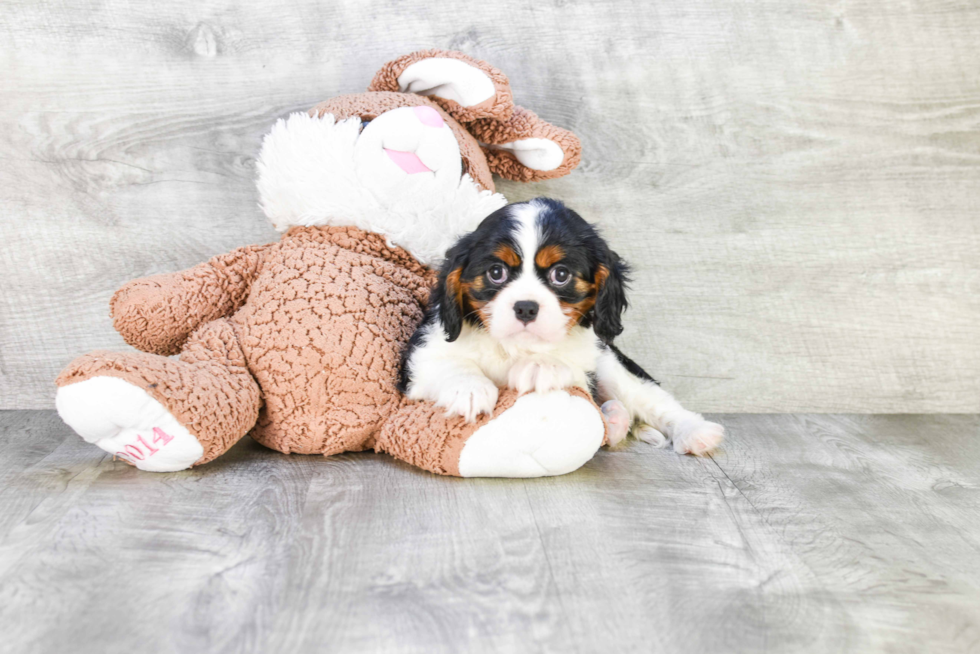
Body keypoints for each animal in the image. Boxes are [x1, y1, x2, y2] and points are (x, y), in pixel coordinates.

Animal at [398, 197, 728, 458]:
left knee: (654, 401)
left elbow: (569, 368)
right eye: (496, 272)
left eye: (561, 274)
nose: (526, 307)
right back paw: (615, 419)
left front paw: (541, 366)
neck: (517, 346)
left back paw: (694, 431)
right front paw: (469, 389)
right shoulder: (421, 357)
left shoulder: (587, 362)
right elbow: (447, 363)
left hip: (613, 366)